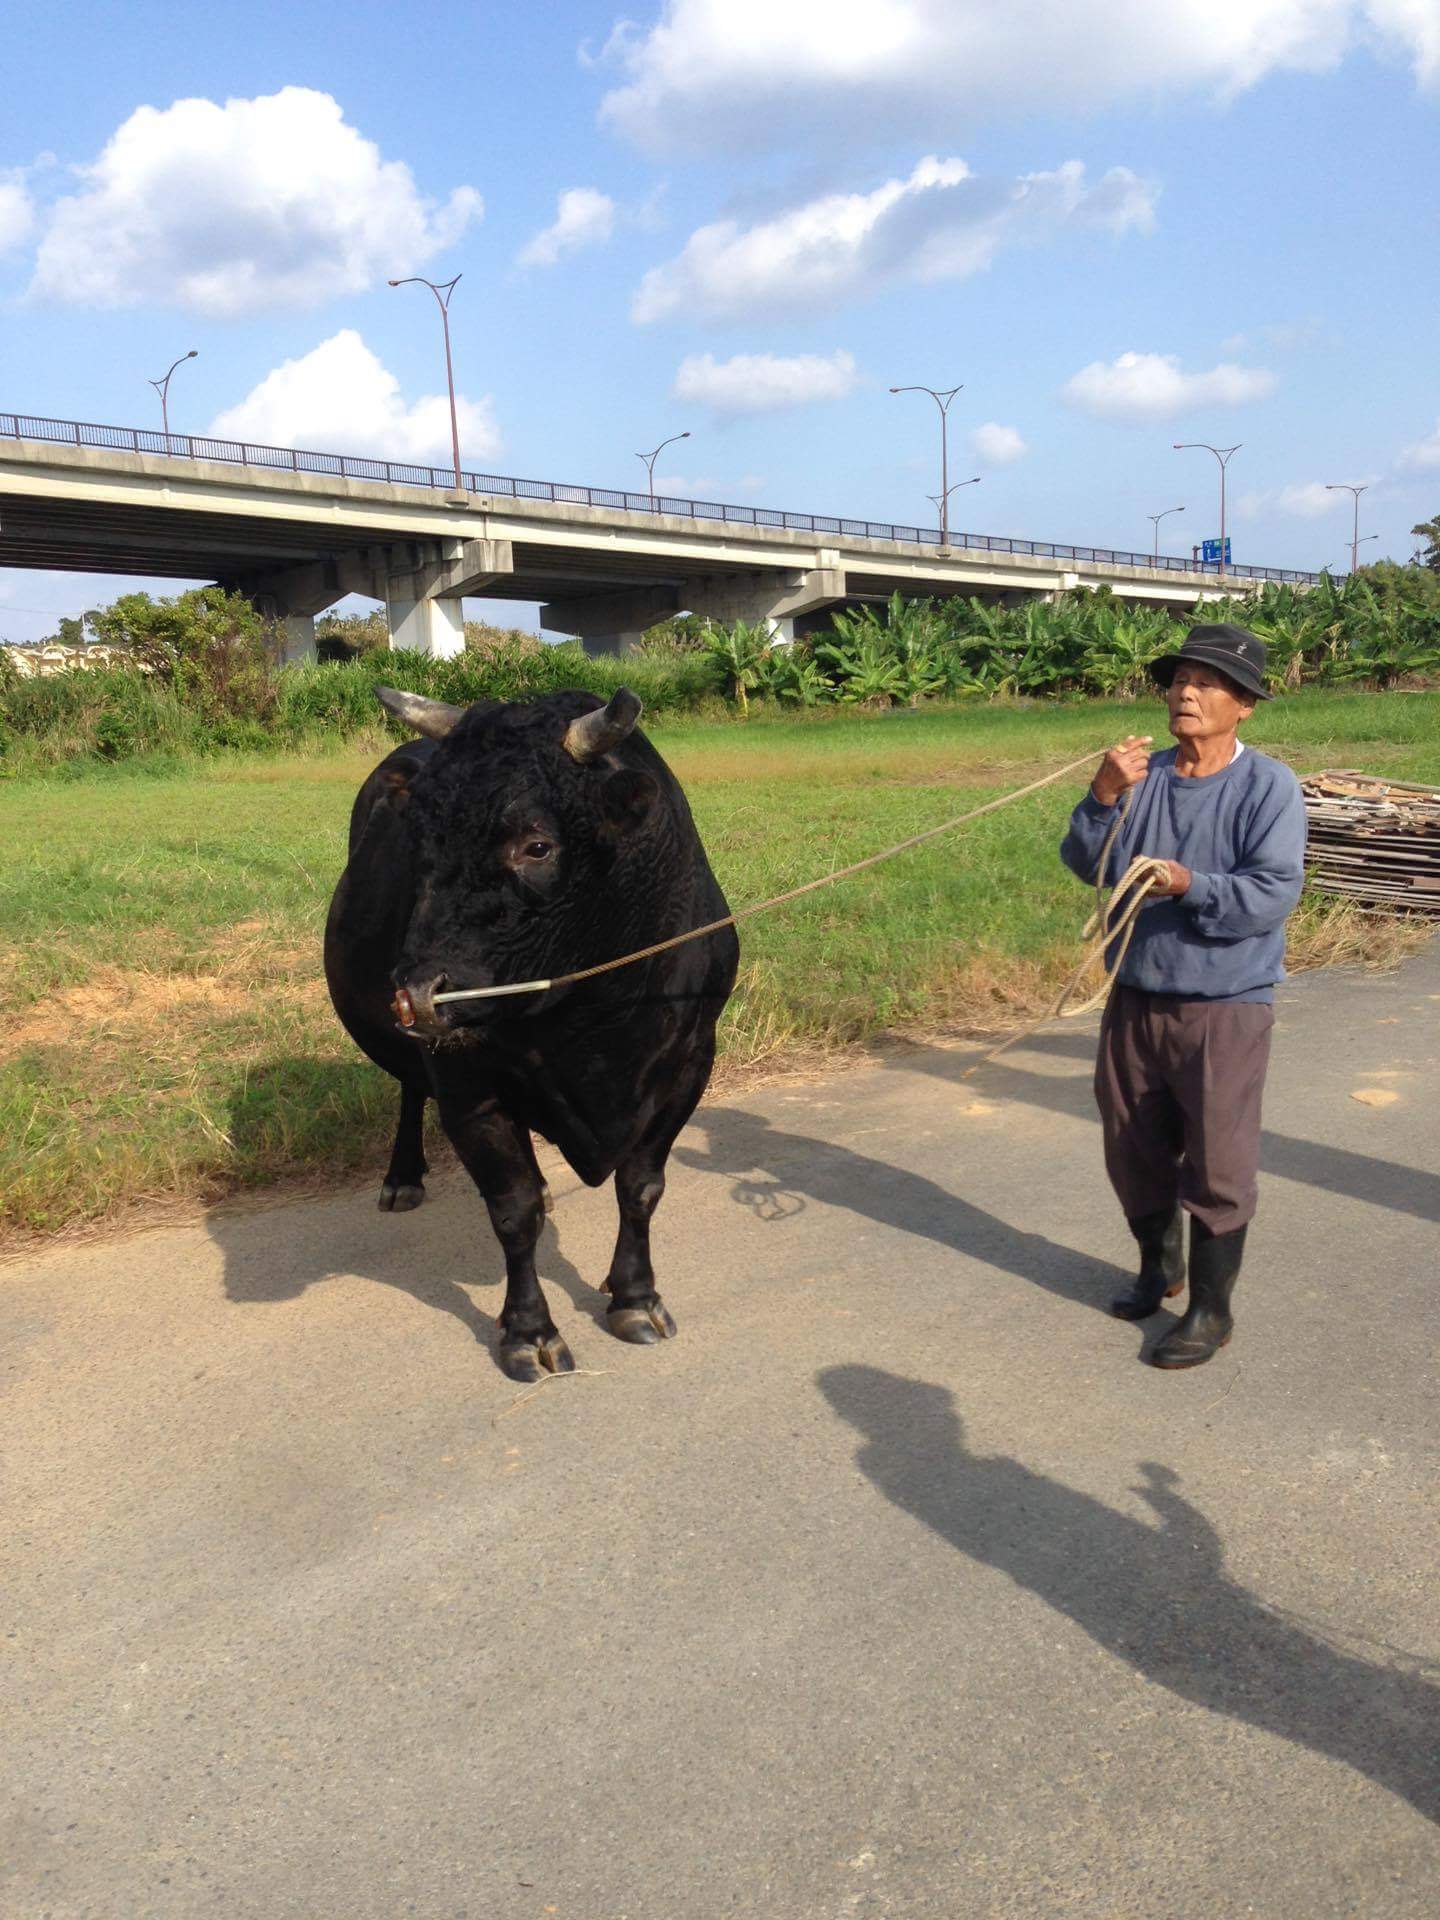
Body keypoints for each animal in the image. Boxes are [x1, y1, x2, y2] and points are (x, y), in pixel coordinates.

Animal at [322, 691, 737, 1382]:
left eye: (537, 846)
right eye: (416, 843)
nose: (420, 993)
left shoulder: (688, 1062)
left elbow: (641, 1187)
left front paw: (636, 1297)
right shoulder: (469, 1088)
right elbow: (514, 1213)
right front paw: (528, 1332)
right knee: (409, 1090)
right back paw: (403, 1176)